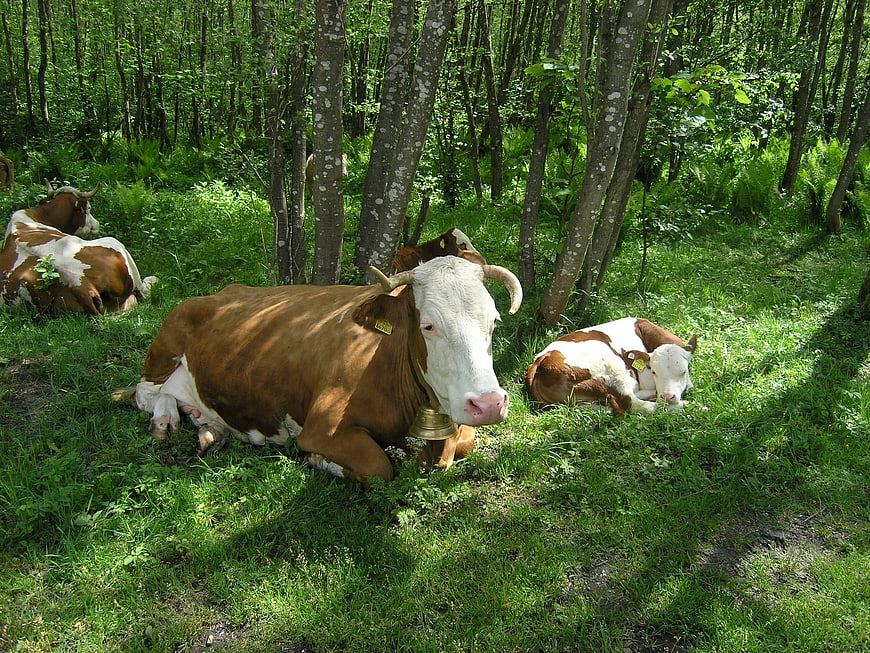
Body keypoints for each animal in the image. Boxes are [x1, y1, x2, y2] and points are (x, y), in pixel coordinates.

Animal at [0, 181, 158, 314]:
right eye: (88, 208)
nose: (97, 224)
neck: (35, 217)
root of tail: (80, 285)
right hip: (116, 245)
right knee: (144, 291)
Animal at [113, 256, 523, 485]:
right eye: (429, 326)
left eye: (495, 321)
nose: (488, 404)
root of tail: (224, 291)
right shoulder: (323, 427)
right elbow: (379, 467)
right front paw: (320, 461)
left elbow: (464, 443)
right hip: (166, 342)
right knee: (146, 392)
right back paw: (165, 419)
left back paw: (210, 431)